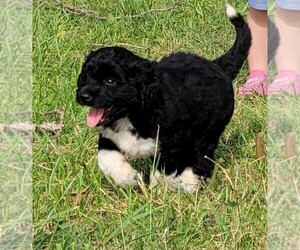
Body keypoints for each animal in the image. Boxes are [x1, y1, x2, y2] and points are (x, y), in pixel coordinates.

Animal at [75, 5, 251, 191]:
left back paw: (189, 183)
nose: (83, 96)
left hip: (209, 130)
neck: (132, 115)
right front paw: (128, 179)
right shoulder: (109, 137)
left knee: (202, 157)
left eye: (110, 81)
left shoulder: (172, 143)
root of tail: (218, 65)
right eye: (86, 77)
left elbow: (163, 170)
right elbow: (106, 158)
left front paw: (157, 192)